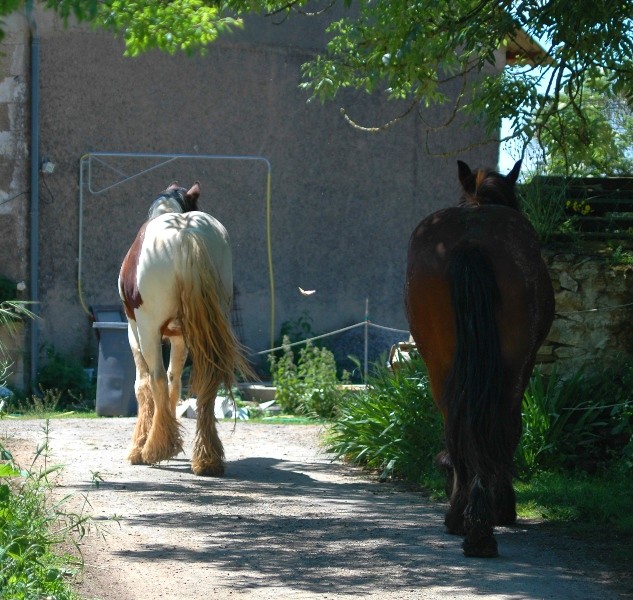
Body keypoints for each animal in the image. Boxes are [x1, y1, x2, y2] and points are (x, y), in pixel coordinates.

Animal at [118, 180, 252, 476]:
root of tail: (185, 232)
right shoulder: (181, 337)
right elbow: (175, 380)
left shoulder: (134, 331)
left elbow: (144, 384)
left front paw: (140, 446)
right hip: (208, 326)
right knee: (208, 381)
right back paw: (206, 458)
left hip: (147, 329)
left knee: (155, 378)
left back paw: (155, 449)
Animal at [404, 161, 552, 556]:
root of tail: (472, 239)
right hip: (510, 366)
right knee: (492, 425)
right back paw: (477, 525)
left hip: (442, 363)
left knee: (460, 423)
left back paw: (469, 522)